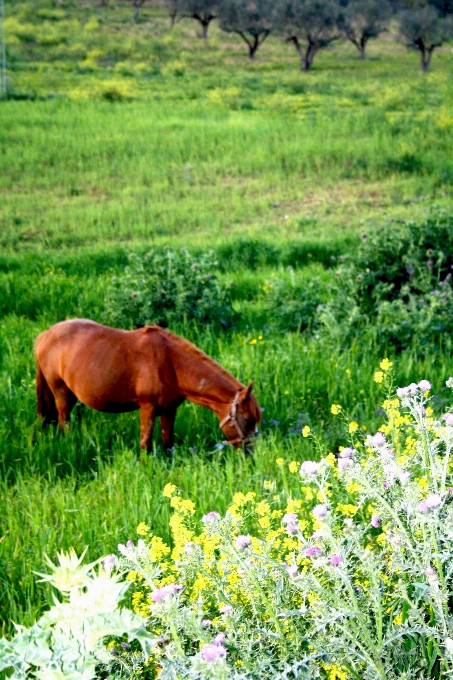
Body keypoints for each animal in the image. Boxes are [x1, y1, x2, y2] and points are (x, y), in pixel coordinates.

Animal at [35, 320, 262, 456]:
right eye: (247, 419)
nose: (251, 454)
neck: (169, 362)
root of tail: (44, 335)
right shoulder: (148, 407)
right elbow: (145, 444)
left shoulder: (169, 409)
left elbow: (168, 443)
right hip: (60, 392)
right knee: (64, 420)